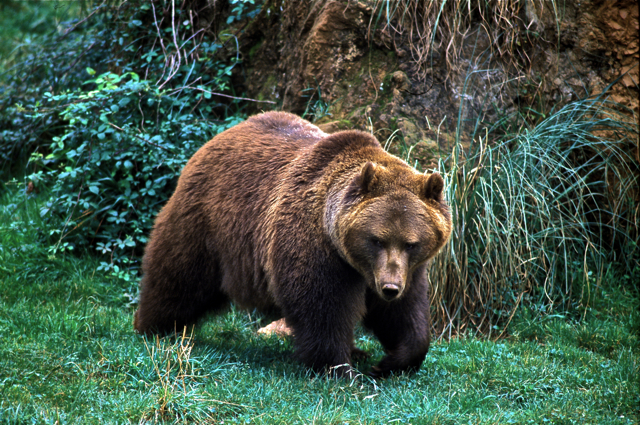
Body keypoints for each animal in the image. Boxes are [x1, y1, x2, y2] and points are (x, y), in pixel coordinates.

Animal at [134, 111, 452, 378]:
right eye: (376, 239)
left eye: (411, 243)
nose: (389, 288)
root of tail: (219, 137)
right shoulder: (315, 246)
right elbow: (321, 308)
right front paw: (340, 369)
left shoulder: (407, 269)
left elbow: (405, 314)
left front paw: (389, 362)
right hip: (205, 223)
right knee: (178, 277)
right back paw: (155, 327)